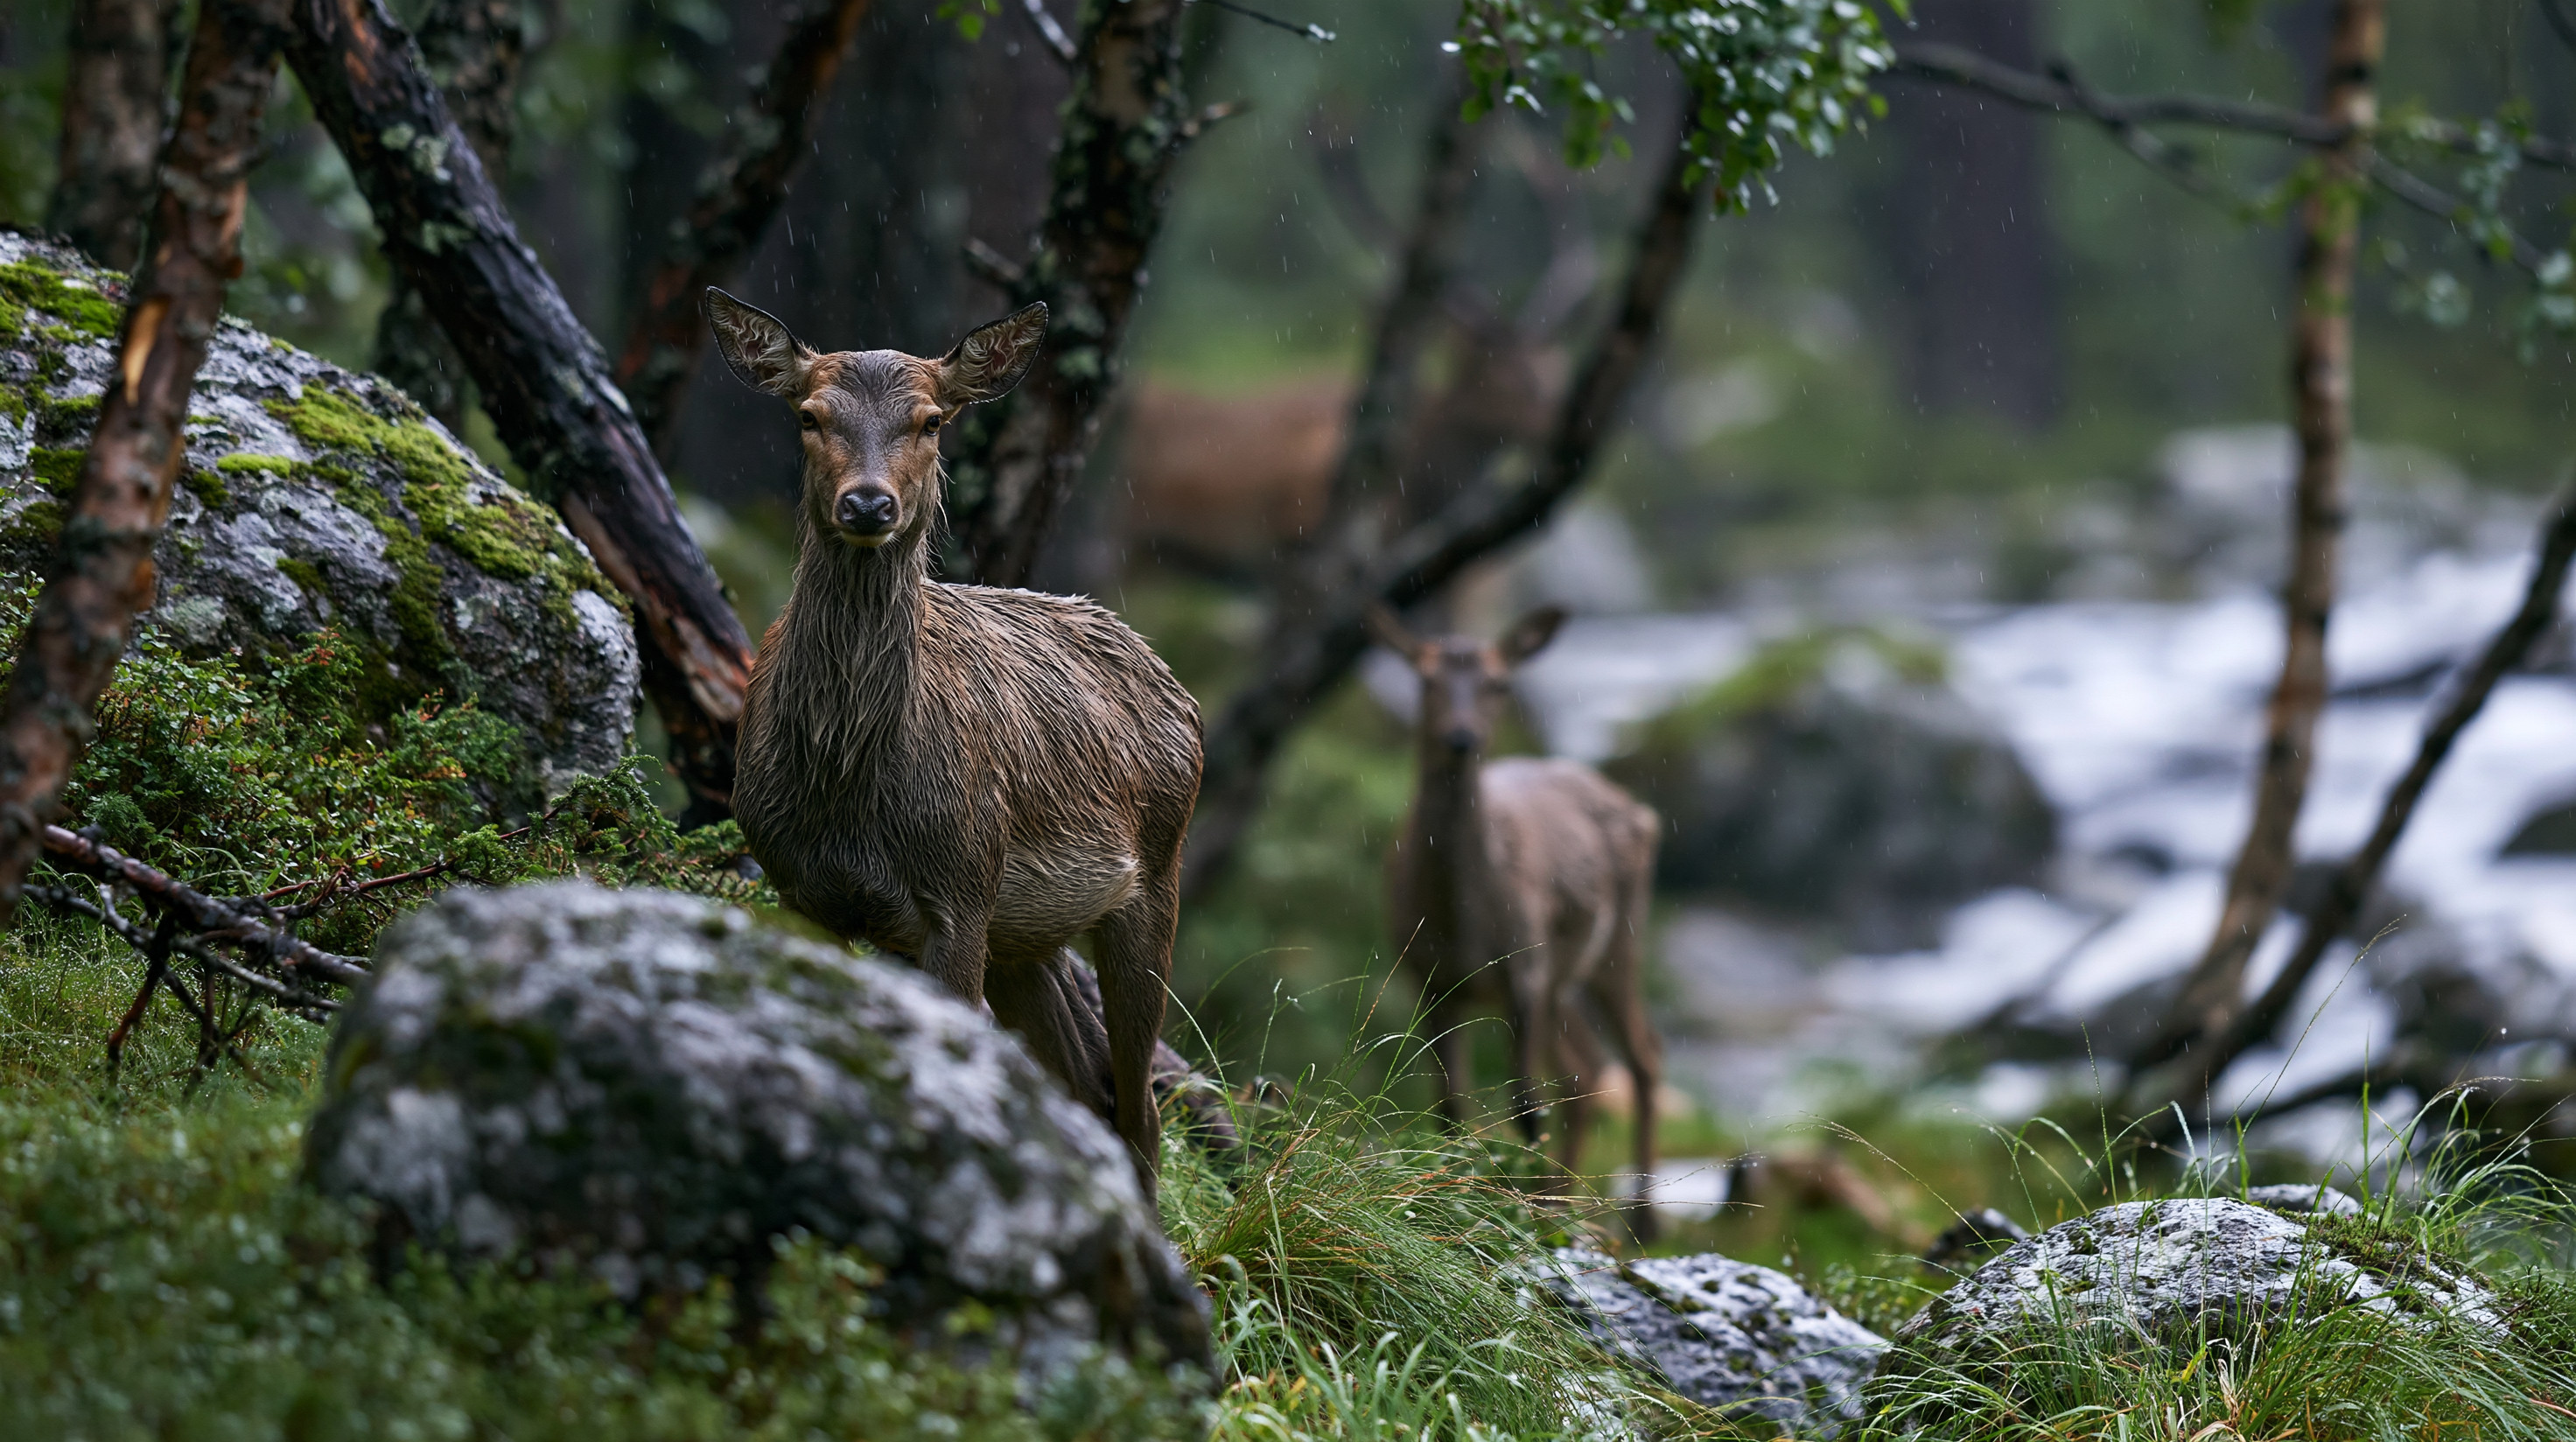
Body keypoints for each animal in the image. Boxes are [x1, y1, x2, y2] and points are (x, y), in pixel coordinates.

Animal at [705, 287, 1203, 1194]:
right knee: (1088, 1089)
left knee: (1140, 1108)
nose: (868, 504)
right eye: (809, 415)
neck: (848, 786)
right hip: (1025, 938)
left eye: (932, 421)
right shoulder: (796, 885)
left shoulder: (960, 890)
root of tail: (1176, 686)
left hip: (1151, 880)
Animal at [1373, 604, 1666, 1239]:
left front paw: (1512, 1210)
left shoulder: (1523, 966)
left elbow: (1526, 1106)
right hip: (1563, 978)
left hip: (1617, 941)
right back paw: (1561, 1203)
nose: (1462, 738)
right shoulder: (1426, 977)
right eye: (1424, 680)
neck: (1460, 925)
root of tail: (1640, 809)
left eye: (1499, 683)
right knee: (1586, 1070)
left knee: (1641, 1056)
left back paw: (1639, 1221)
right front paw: (1454, 1194)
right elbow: (1451, 1106)